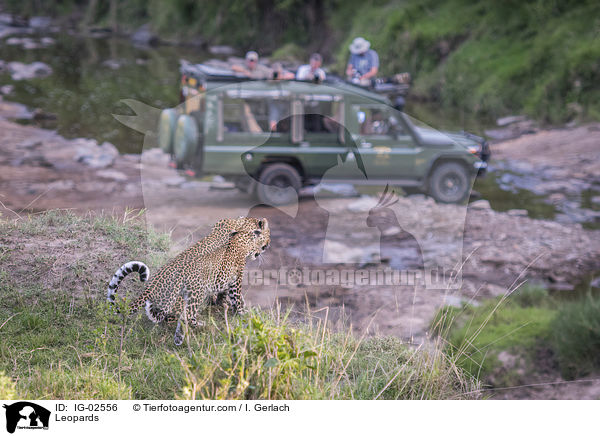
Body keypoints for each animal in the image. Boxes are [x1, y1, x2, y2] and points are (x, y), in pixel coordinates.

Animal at [105, 217, 270, 344]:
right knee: (181, 317)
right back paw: (198, 327)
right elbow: (236, 296)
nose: (267, 246)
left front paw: (222, 303)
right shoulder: (234, 277)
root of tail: (148, 289)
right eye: (268, 235)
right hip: (190, 295)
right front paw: (243, 312)